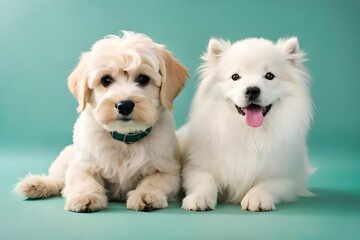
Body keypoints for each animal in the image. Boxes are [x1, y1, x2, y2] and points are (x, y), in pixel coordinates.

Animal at [14, 31, 188, 212]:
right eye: (106, 80)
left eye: (143, 79)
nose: (124, 105)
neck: (125, 140)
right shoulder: (82, 165)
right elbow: (85, 180)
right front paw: (86, 196)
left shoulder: (168, 170)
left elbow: (154, 181)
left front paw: (145, 195)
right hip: (66, 155)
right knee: (57, 179)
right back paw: (37, 185)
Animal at [179, 36, 314, 211]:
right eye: (235, 77)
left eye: (269, 76)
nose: (252, 90)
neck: (249, 133)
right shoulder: (196, 167)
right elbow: (205, 181)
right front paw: (199, 198)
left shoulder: (286, 176)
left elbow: (267, 184)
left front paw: (257, 198)